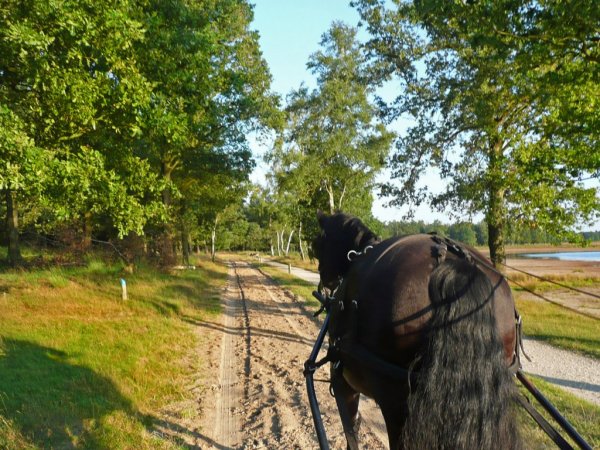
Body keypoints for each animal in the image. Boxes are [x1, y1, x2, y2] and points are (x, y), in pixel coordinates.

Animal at [311, 211, 522, 450]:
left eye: (317, 243)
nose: (325, 281)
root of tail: (453, 265)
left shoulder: (344, 382)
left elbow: (351, 431)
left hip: (396, 404)